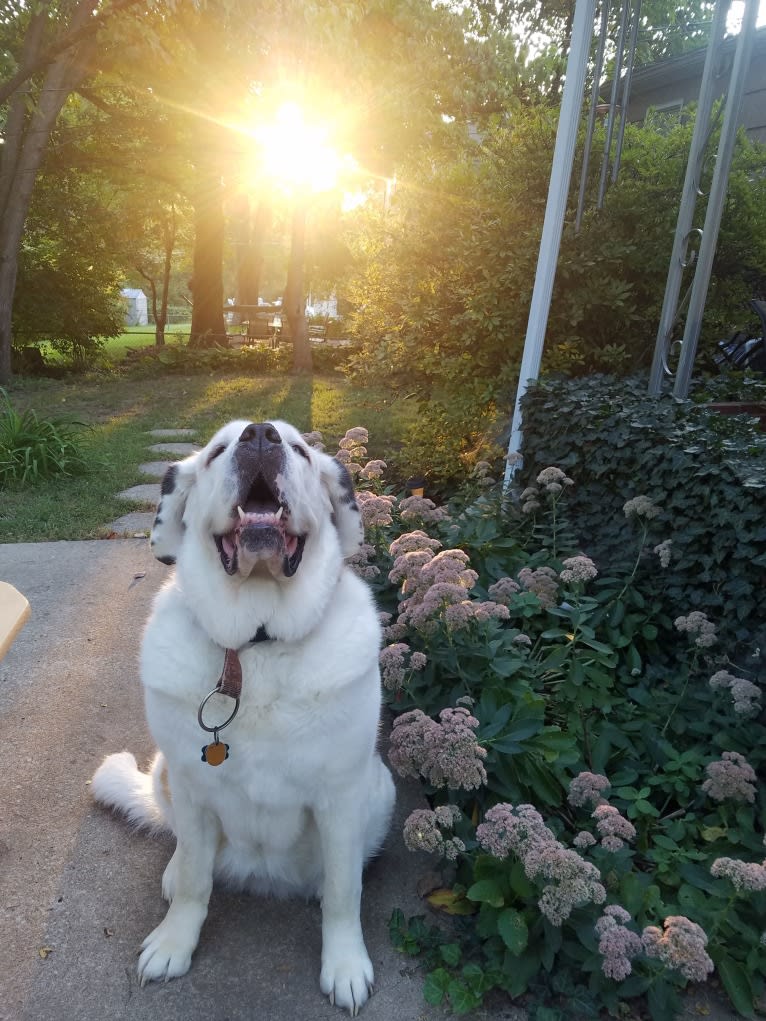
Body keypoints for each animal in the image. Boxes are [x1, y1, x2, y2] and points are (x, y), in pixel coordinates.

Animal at [91, 416, 396, 1012]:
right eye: (216, 452)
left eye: (299, 450)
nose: (260, 436)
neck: (257, 647)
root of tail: (262, 874)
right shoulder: (189, 786)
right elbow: (194, 880)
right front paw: (173, 943)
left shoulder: (342, 795)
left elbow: (343, 893)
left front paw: (346, 966)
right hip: (164, 771)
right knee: (185, 850)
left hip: (381, 789)